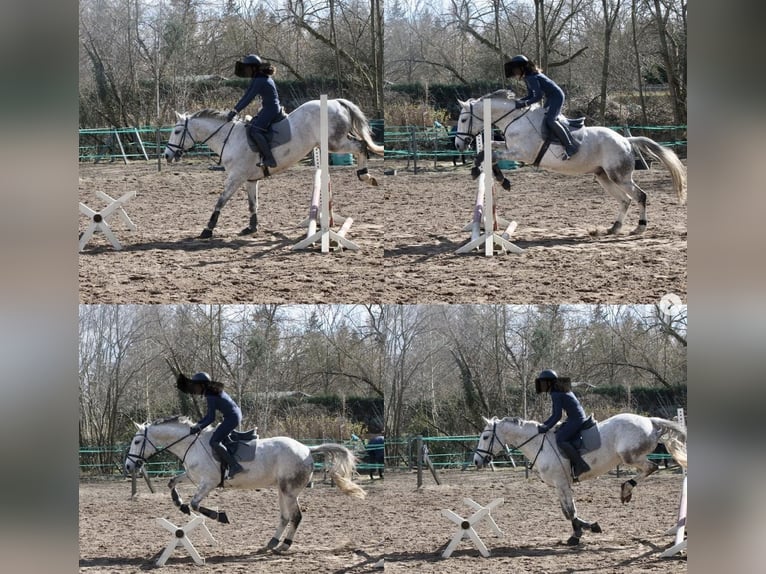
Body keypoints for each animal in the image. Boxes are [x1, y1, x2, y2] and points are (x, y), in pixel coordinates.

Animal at [124, 418, 368, 552]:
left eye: (136, 441)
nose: (128, 466)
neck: (191, 444)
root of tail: (308, 449)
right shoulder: (194, 477)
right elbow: (172, 483)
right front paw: (179, 503)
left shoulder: (209, 482)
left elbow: (195, 504)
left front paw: (221, 516)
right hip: (281, 490)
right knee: (285, 517)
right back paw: (272, 542)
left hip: (290, 491)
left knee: (296, 516)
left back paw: (285, 545)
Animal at [166, 100, 388, 240]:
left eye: (176, 131)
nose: (167, 156)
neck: (229, 138)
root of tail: (336, 102)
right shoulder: (249, 180)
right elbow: (252, 205)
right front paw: (251, 227)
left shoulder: (236, 177)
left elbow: (220, 201)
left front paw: (207, 230)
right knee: (360, 145)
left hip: (336, 142)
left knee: (361, 146)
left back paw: (365, 175)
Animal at [456, 90, 688, 234]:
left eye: (464, 119)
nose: (459, 145)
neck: (515, 120)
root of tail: (625, 140)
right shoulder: (508, 147)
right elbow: (489, 149)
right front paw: (496, 177)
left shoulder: (523, 153)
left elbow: (492, 155)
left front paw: (488, 174)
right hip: (603, 177)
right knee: (625, 200)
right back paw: (614, 227)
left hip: (619, 176)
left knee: (640, 196)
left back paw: (640, 227)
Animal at [474, 416, 688, 548]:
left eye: (485, 436)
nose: (476, 461)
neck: (539, 445)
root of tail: (649, 420)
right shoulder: (561, 485)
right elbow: (568, 511)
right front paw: (586, 528)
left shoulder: (561, 483)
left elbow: (569, 512)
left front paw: (579, 534)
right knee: (650, 468)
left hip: (628, 456)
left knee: (652, 467)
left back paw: (626, 490)